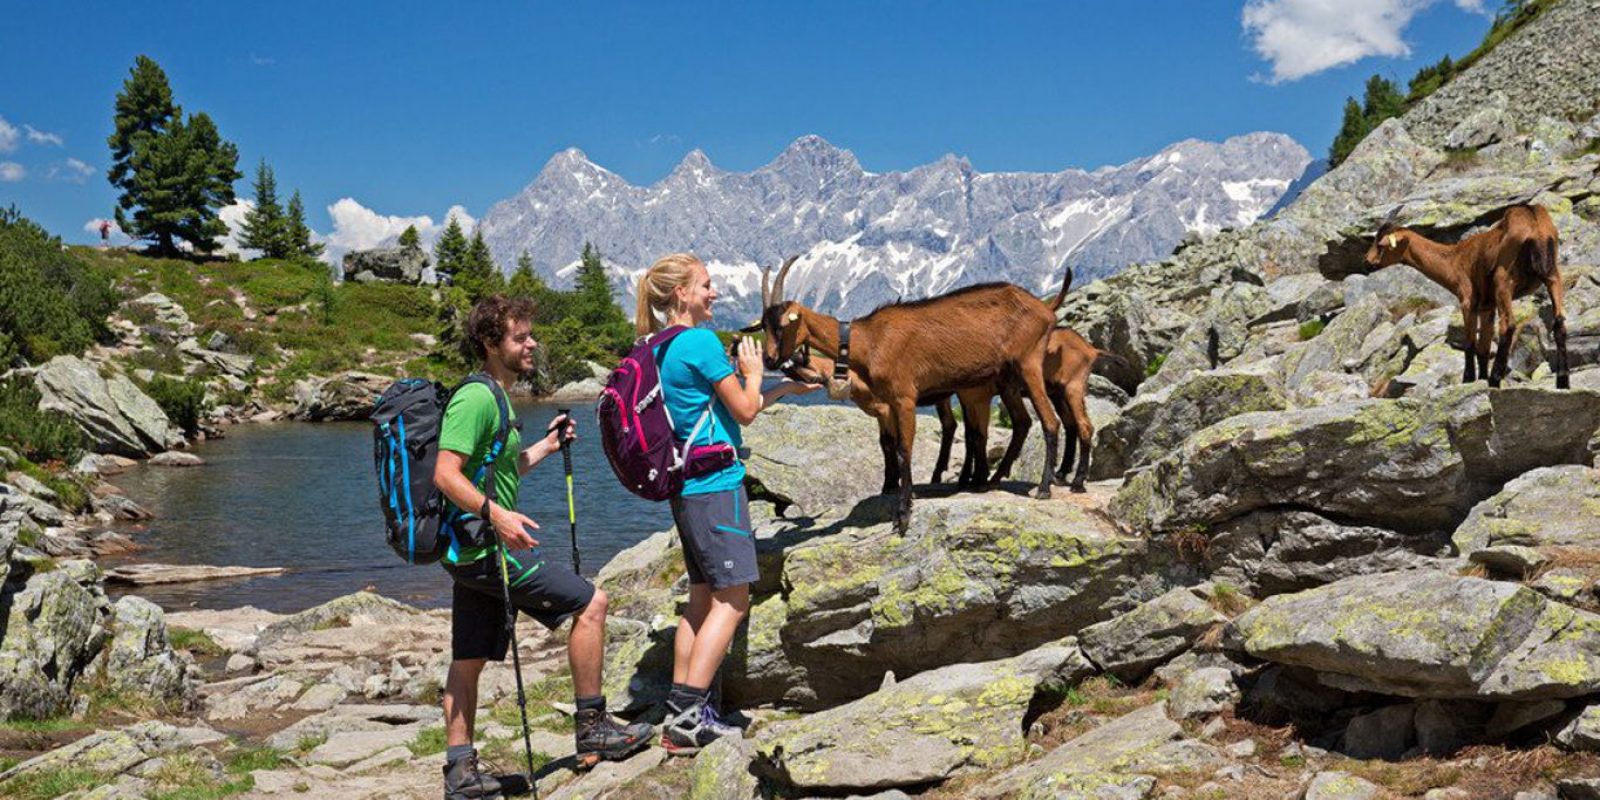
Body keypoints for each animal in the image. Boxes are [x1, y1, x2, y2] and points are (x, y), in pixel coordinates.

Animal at [745, 257, 1062, 531]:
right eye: (764, 326)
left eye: (783, 325)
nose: (770, 360)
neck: (869, 340)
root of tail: (1045, 310)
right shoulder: (889, 403)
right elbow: (891, 446)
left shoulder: (904, 398)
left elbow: (903, 449)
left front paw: (903, 514)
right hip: (1007, 378)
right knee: (1021, 422)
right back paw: (993, 479)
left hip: (1027, 364)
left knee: (1049, 421)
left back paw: (1043, 488)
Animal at [1369, 200, 1568, 387]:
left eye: (1380, 244)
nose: (1367, 261)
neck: (1455, 259)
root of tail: (1535, 224)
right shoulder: (1487, 306)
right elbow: (1483, 347)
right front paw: (1481, 379)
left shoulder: (1468, 301)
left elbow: (1470, 343)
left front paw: (1469, 379)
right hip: (1553, 276)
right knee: (1559, 323)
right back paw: (1563, 382)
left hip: (1504, 282)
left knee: (1508, 325)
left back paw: (1495, 379)